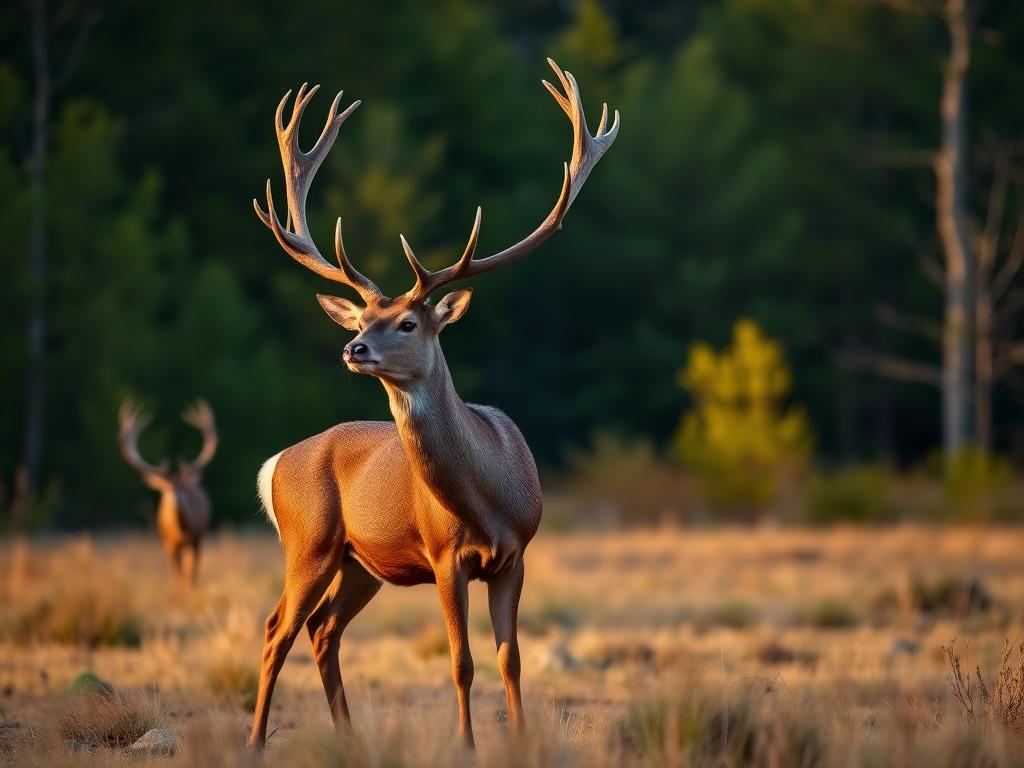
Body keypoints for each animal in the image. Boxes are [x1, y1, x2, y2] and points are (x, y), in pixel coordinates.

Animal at [118, 400, 218, 586]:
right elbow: (177, 575)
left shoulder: (195, 538)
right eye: (166, 488)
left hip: (198, 539)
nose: (177, 500)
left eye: (183, 488)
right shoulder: (168, 543)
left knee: (191, 570)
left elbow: (189, 574)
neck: (180, 532)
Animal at [248, 58, 619, 751]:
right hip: (308, 541)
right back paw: (256, 742)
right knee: (276, 629)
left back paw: (349, 740)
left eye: (408, 323)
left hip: (358, 562)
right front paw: (467, 745)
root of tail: (274, 464)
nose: (354, 347)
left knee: (321, 630)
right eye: (363, 317)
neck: (487, 496)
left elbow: (510, 657)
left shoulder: (516, 555)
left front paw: (519, 740)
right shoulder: (446, 557)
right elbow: (462, 661)